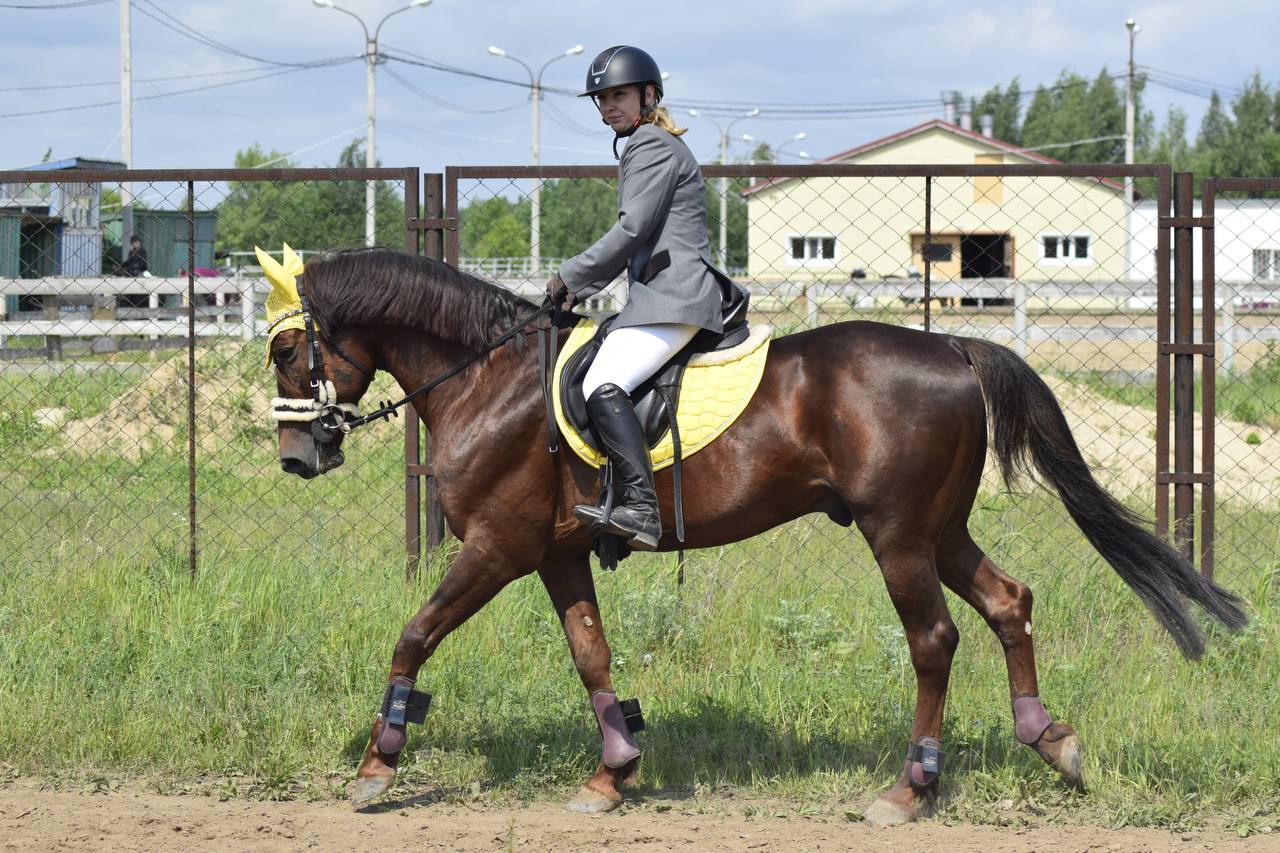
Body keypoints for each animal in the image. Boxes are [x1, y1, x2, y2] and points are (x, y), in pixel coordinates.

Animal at [264, 245, 1244, 824]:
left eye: (285, 351)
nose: (296, 458)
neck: (486, 376)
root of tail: (954, 348)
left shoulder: (497, 550)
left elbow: (414, 634)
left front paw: (377, 763)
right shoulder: (555, 554)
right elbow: (593, 656)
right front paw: (614, 769)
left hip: (898, 536)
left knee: (934, 637)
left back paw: (911, 787)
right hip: (939, 530)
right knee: (1008, 601)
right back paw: (1049, 738)